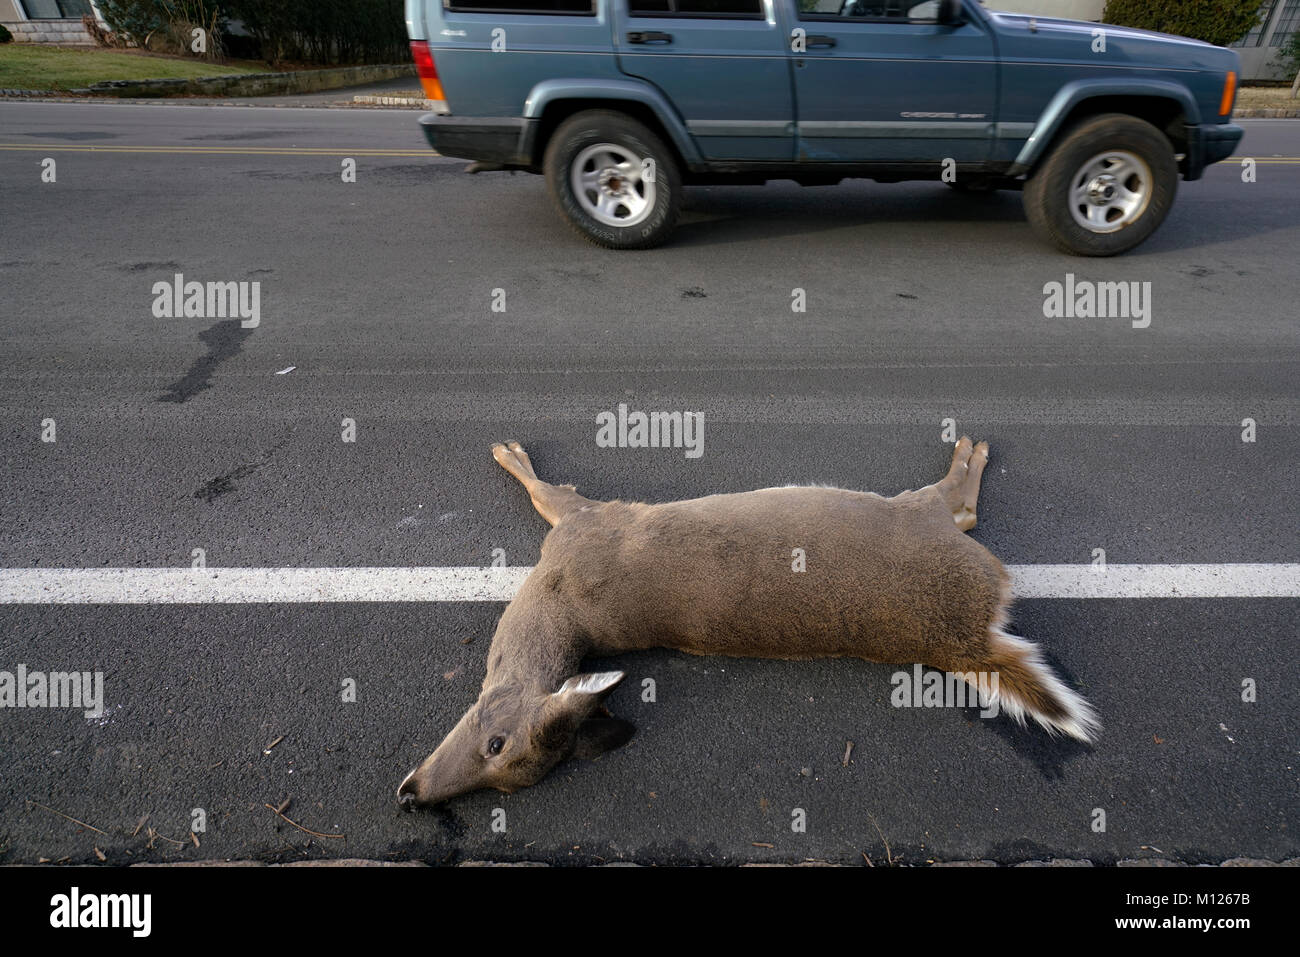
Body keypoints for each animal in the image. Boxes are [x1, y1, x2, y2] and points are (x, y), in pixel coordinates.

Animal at [397, 438, 1099, 808]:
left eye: (495, 746)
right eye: (503, 780)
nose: (411, 794)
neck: (558, 597)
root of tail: (966, 639)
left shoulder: (588, 521)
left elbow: (548, 491)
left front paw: (508, 449)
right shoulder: (584, 526)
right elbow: (547, 492)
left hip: (921, 520)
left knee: (958, 504)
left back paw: (968, 448)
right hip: (927, 528)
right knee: (959, 509)